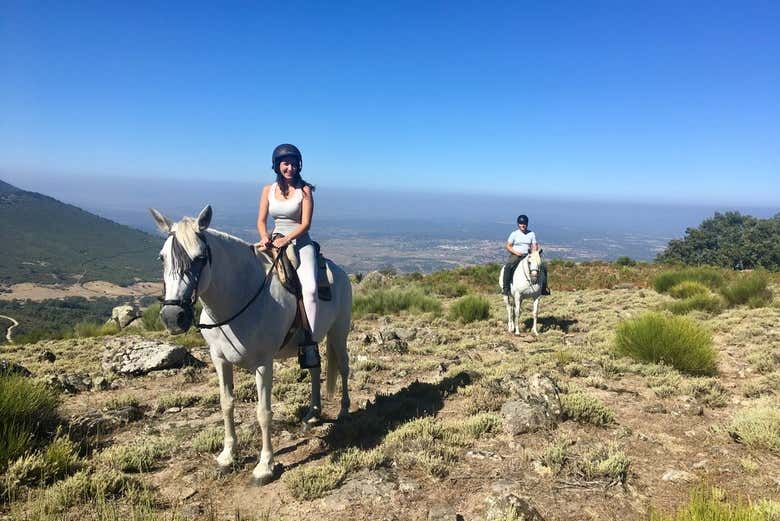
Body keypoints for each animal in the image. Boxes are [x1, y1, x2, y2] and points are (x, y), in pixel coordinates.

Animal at [149, 205, 350, 482]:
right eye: (162, 258)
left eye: (200, 258)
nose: (172, 317)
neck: (239, 298)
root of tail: (339, 271)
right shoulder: (219, 359)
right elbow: (226, 404)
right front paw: (227, 456)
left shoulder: (263, 364)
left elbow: (263, 412)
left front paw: (265, 466)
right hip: (312, 342)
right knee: (315, 369)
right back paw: (312, 413)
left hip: (339, 333)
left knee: (344, 368)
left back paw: (343, 411)